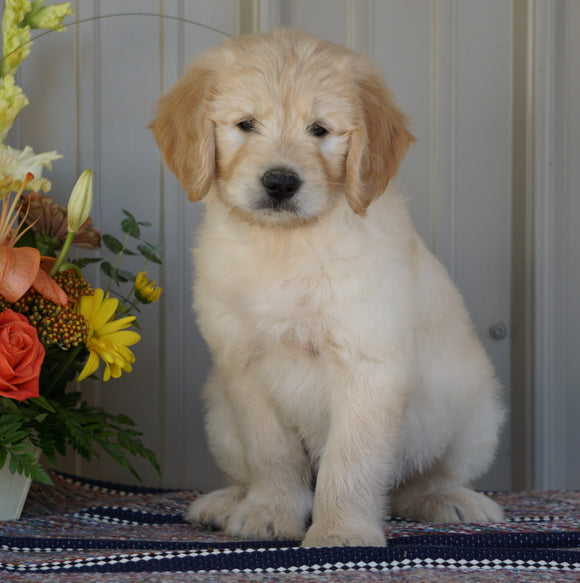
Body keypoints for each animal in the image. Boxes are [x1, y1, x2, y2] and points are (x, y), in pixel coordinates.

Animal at [152, 27, 506, 548]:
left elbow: (350, 461)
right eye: (246, 124)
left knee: (420, 481)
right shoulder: (244, 366)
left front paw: (341, 530)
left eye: (319, 130)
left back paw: (450, 500)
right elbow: (272, 454)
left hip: (471, 409)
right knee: (245, 469)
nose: (280, 183)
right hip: (218, 411)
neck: (287, 244)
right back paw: (226, 502)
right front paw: (270, 511)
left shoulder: (369, 363)